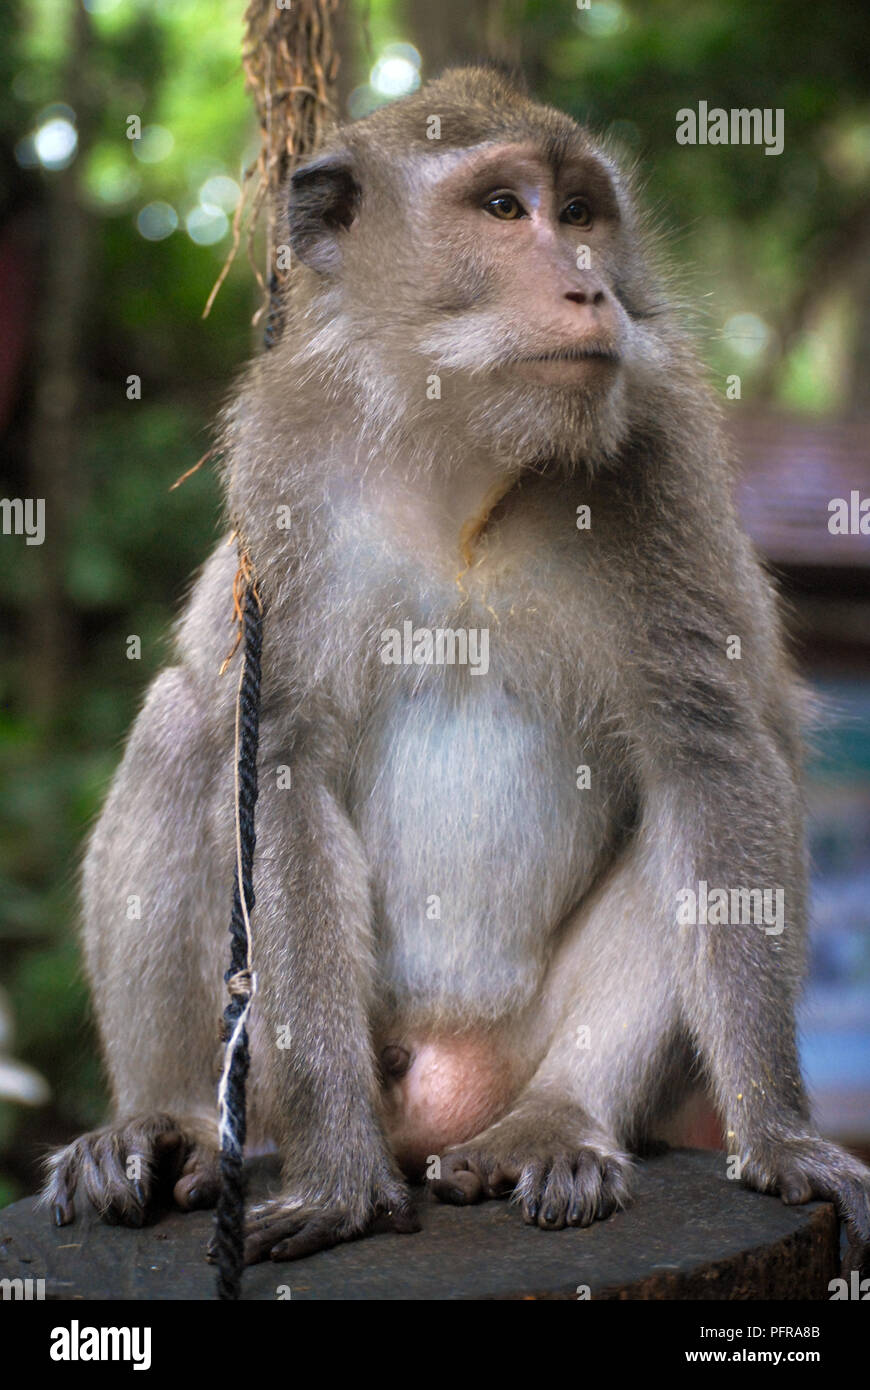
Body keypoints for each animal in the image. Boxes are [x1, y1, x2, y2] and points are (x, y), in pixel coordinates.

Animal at [44, 73, 867, 1273]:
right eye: (501, 209)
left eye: (582, 212)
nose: (589, 285)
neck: (466, 460)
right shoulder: (283, 464)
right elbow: (278, 762)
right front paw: (341, 1176)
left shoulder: (660, 454)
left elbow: (710, 757)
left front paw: (780, 1135)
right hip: (290, 1070)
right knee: (187, 725)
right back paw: (169, 1120)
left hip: (520, 1051)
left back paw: (555, 1123)